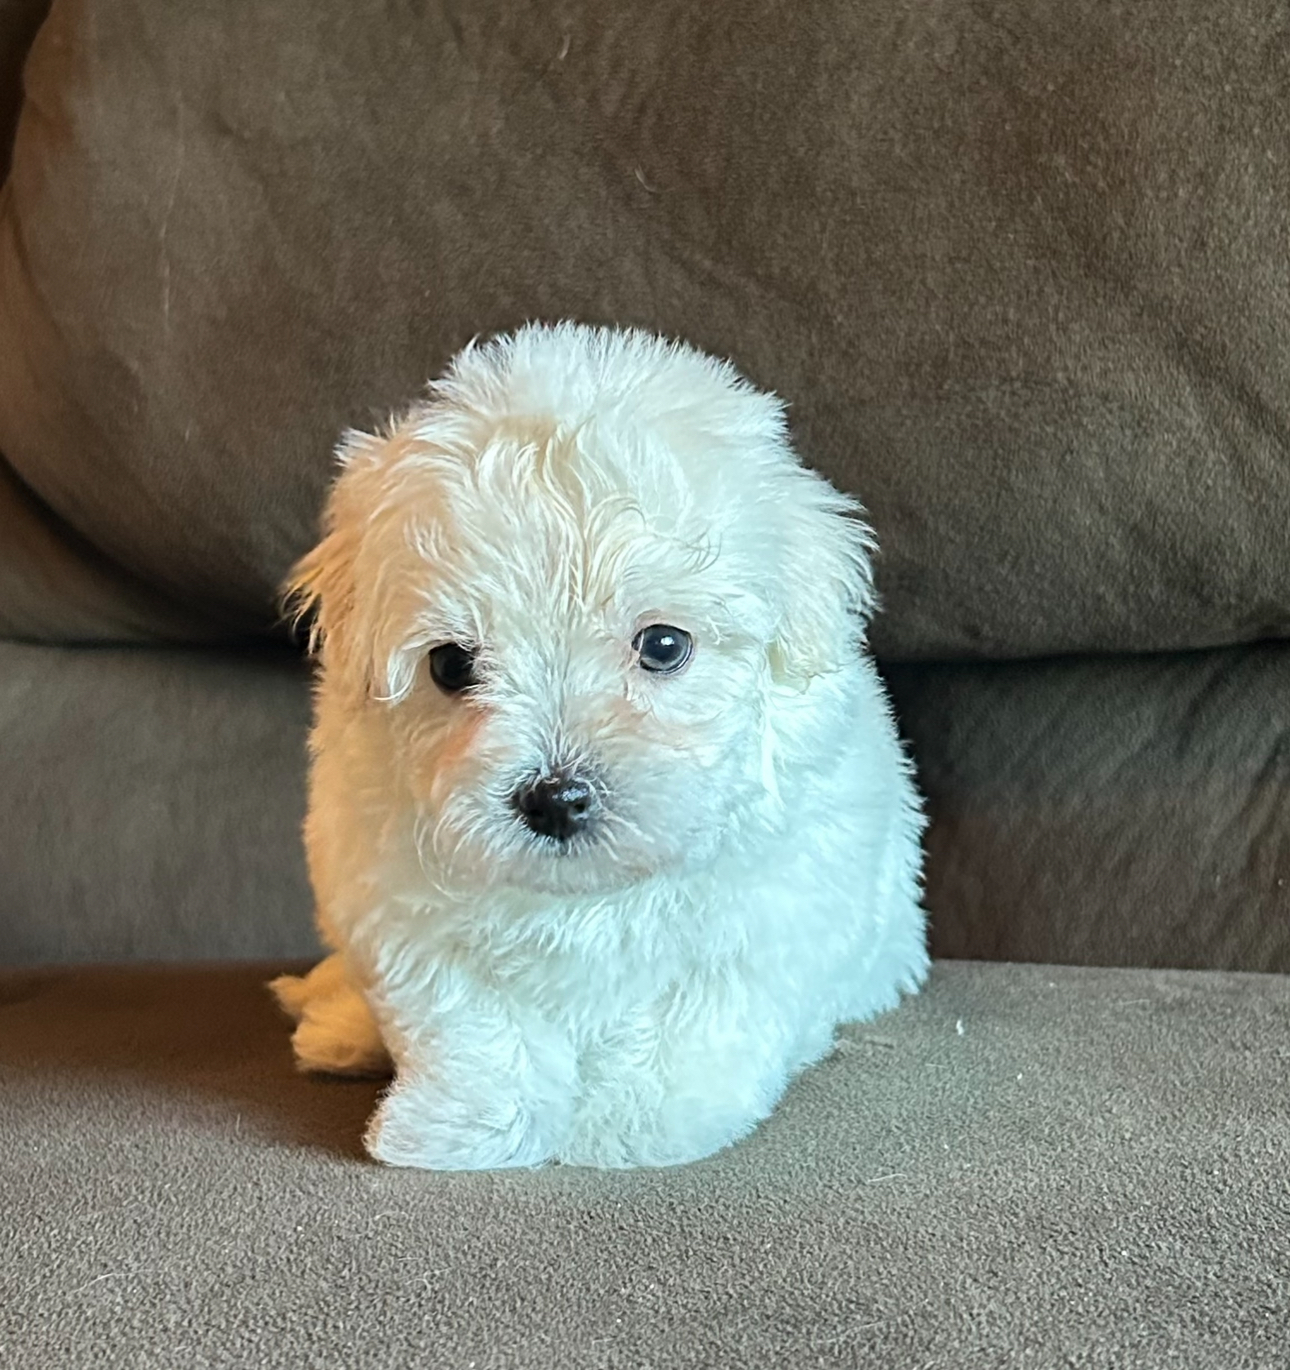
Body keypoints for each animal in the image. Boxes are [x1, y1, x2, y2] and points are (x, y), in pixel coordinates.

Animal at [272, 320, 925, 1167]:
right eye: (450, 664)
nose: (556, 800)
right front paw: (470, 1129)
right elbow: (475, 1027)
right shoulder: (405, 912)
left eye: (664, 645)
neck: (587, 894)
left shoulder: (759, 918)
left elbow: (689, 1022)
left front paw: (632, 1124)